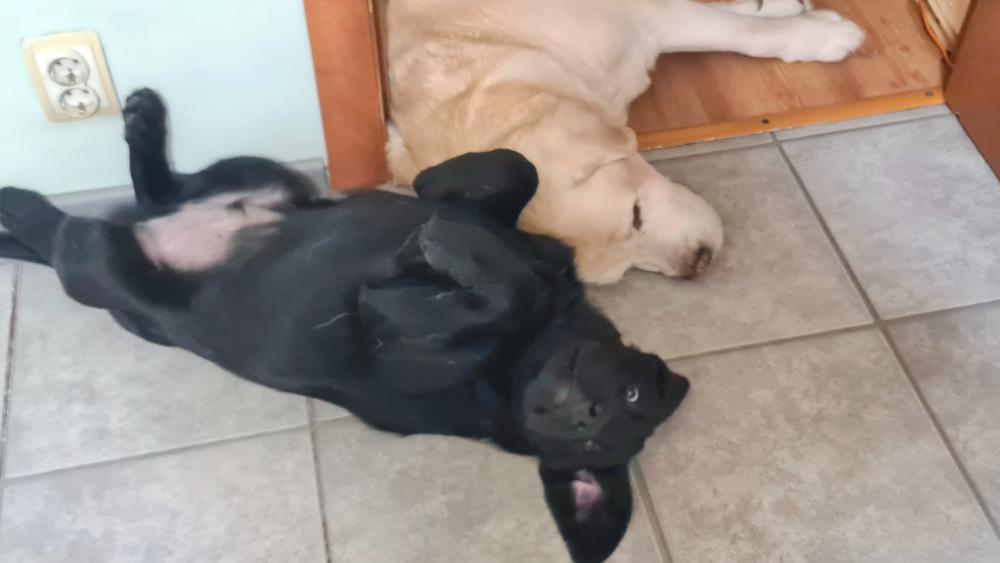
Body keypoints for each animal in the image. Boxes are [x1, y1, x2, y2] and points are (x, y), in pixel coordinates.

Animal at [0, 89, 690, 563]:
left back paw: (24, 206)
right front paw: (441, 207)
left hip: (99, 264)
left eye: (597, 446)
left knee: (73, 233)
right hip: (266, 174)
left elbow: (498, 286)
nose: (584, 416)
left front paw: (451, 249)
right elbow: (513, 167)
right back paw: (143, 124)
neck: (524, 352)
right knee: (160, 192)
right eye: (632, 392)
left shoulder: (394, 323)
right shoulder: (504, 220)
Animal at [383, 0, 865, 283]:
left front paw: (821, 37)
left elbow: (738, 33)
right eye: (626, 268)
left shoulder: (641, 17)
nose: (697, 264)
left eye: (635, 214)